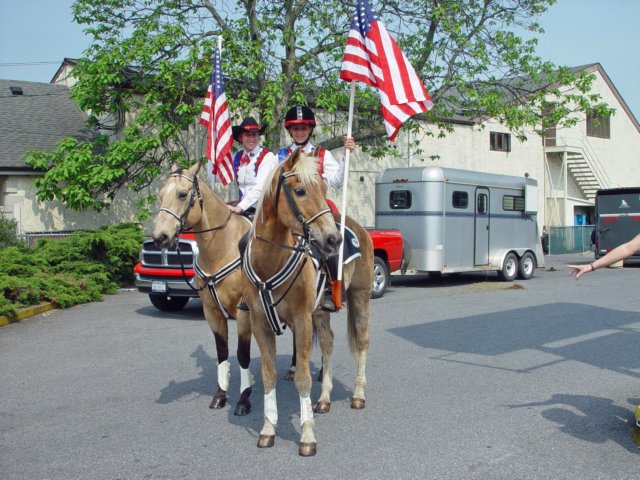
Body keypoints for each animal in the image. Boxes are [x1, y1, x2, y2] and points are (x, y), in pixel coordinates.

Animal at [153, 162, 255, 416]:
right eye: (160, 194)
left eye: (182, 194)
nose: (160, 237)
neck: (222, 248)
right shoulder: (212, 311)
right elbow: (222, 352)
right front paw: (220, 396)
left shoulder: (244, 311)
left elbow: (243, 354)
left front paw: (244, 399)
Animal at [245, 148, 376, 456]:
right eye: (300, 190)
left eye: (325, 189)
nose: (333, 239)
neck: (270, 261)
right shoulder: (260, 323)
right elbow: (268, 375)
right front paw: (268, 429)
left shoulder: (302, 321)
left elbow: (303, 376)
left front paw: (306, 435)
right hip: (320, 312)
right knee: (328, 342)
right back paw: (325, 398)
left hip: (360, 297)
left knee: (362, 342)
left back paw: (358, 394)